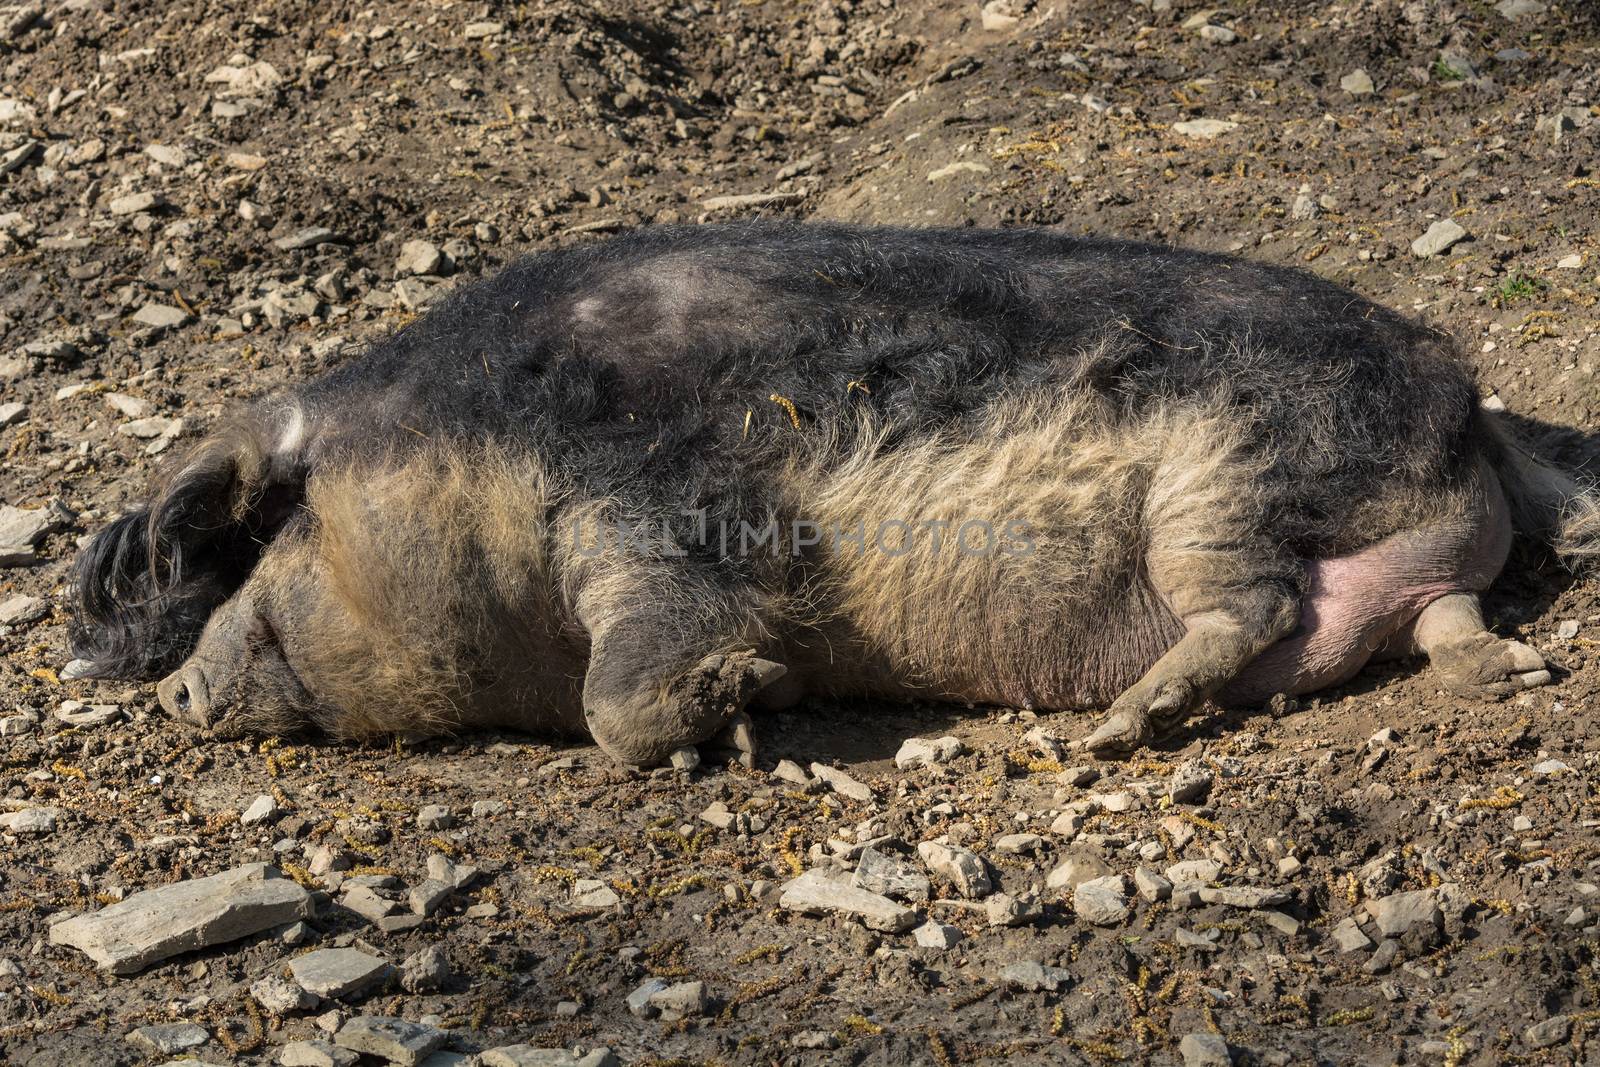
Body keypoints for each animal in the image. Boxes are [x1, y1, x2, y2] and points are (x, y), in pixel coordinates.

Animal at [65, 220, 1600, 764]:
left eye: (274, 546)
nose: (174, 688)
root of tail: (1467, 399)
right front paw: (746, 713)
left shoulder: (659, 509)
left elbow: (627, 685)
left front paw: (741, 709)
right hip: (1372, 540)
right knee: (1435, 611)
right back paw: (1500, 680)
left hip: (1224, 469)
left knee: (1256, 600)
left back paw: (1122, 724)